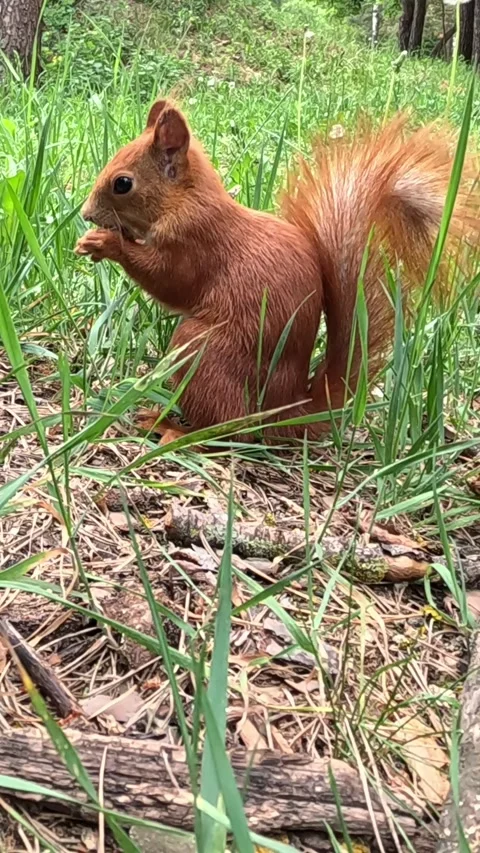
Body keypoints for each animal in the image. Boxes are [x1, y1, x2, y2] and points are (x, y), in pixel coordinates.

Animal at [75, 98, 479, 444]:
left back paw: (177, 431)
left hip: (203, 353)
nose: (86, 214)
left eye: (123, 183)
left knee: (230, 430)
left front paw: (106, 244)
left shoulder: (196, 242)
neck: (186, 199)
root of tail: (283, 413)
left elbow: (169, 280)